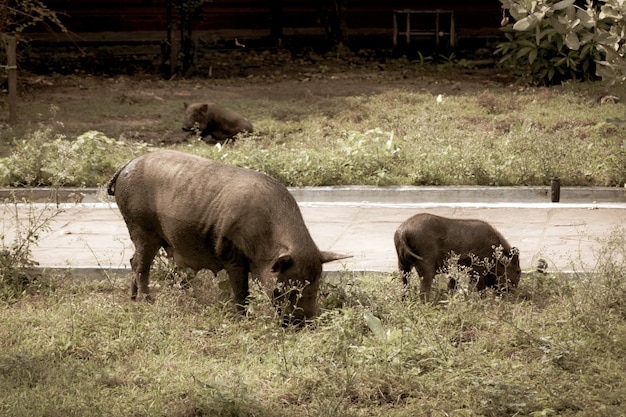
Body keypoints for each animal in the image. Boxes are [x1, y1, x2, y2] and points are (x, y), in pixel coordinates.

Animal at [109, 150, 348, 322]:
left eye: (315, 285)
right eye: (288, 288)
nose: (305, 322)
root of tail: (126, 165)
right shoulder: (232, 254)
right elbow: (242, 291)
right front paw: (243, 319)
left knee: (133, 260)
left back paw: (133, 301)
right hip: (140, 226)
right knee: (141, 265)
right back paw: (148, 302)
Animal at [392, 213, 520, 298]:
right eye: (518, 271)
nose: (514, 295)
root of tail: (402, 232)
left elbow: (452, 284)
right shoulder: (477, 268)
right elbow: (480, 287)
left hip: (402, 264)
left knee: (404, 283)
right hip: (425, 262)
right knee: (423, 290)